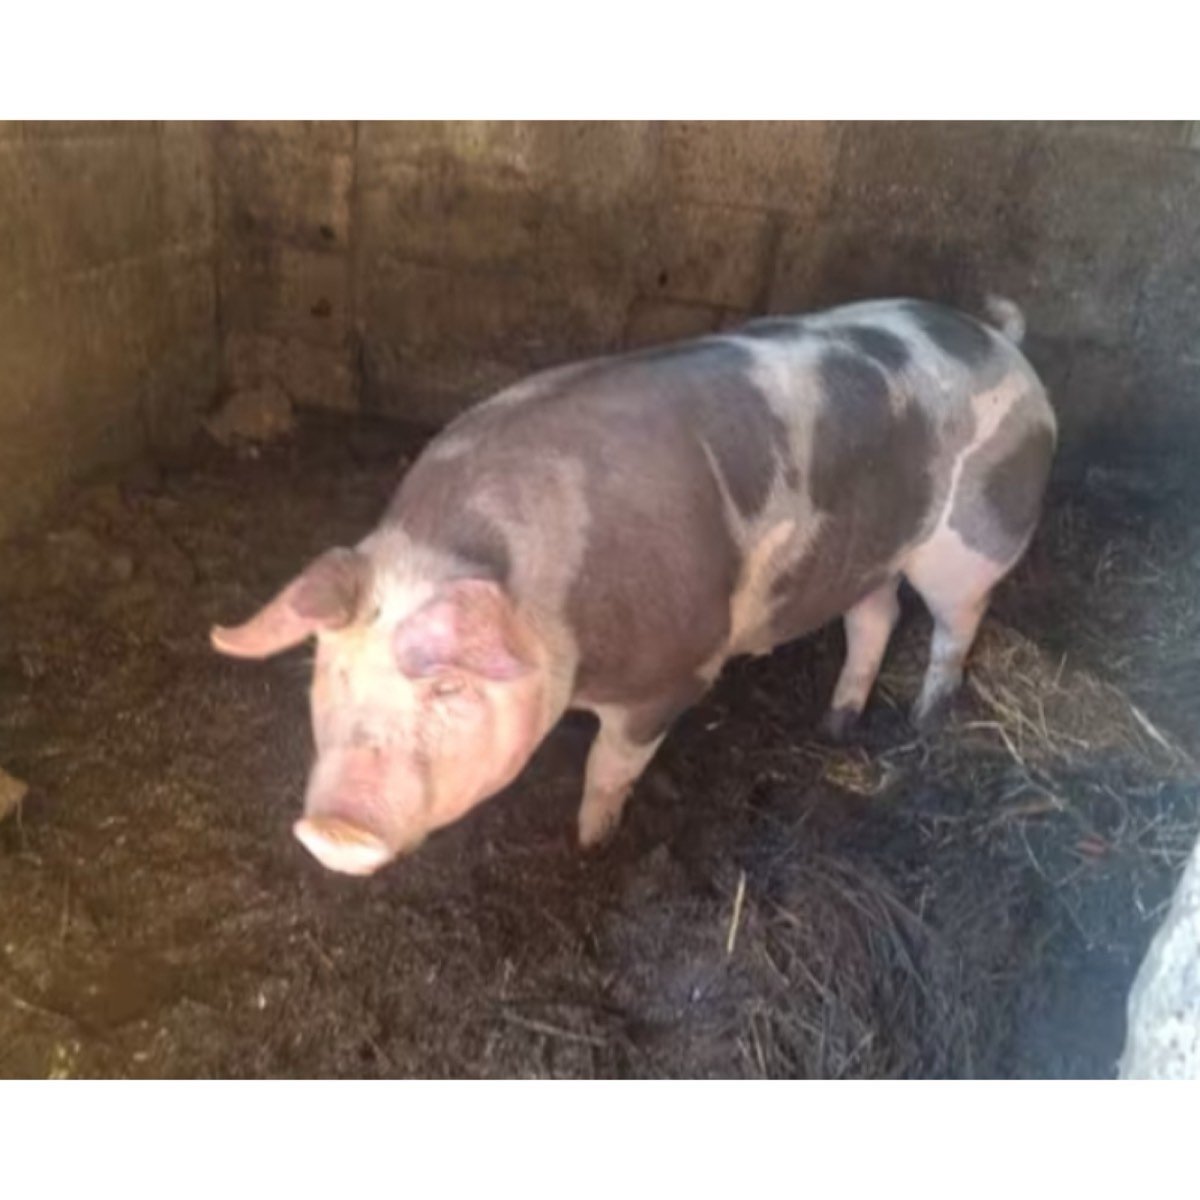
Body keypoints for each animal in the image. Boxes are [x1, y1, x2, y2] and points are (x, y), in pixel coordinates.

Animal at [212, 296, 1056, 876]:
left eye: (448, 688)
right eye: (332, 673)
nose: (331, 830)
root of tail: (1003, 344)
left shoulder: (675, 675)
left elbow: (609, 771)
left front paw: (590, 849)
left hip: (976, 541)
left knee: (954, 626)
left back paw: (926, 717)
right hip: (869, 553)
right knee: (874, 616)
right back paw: (837, 725)